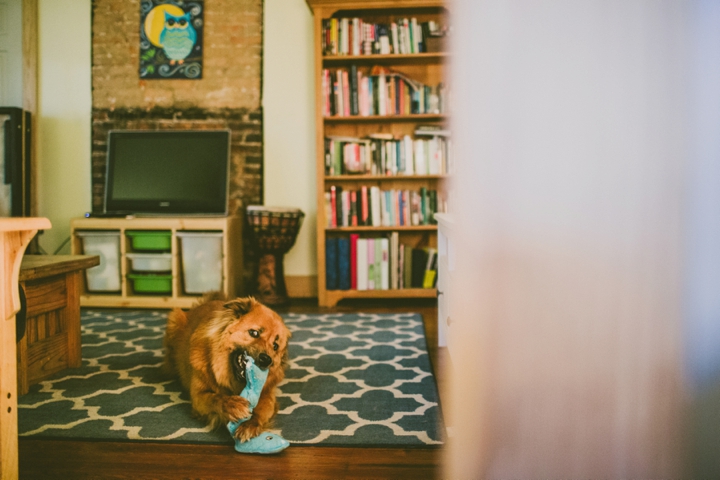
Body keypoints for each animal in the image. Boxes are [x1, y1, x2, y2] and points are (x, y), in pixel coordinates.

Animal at [165, 292, 292, 442]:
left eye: (275, 346)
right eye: (254, 333)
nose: (266, 360)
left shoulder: (268, 395)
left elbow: (260, 411)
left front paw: (249, 425)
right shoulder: (198, 396)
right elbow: (216, 398)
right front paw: (233, 405)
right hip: (174, 319)